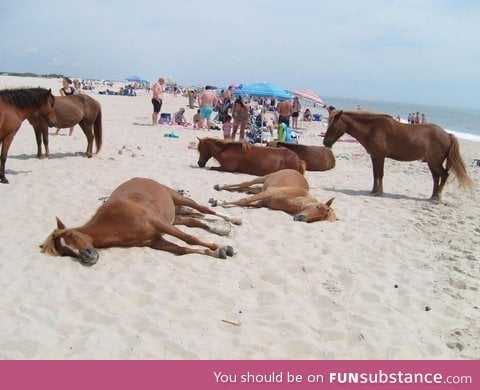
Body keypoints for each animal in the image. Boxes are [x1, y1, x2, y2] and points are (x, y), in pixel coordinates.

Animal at [40, 177, 244, 266]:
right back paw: (220, 230)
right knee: (194, 221)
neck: (115, 222)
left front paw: (221, 247)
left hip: (177, 198)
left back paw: (232, 220)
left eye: (72, 234)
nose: (87, 256)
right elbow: (182, 250)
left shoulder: (158, 224)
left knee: (203, 210)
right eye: (65, 253)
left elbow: (189, 239)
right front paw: (217, 252)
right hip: (173, 219)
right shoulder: (155, 241)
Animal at [210, 170, 338, 224]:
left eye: (319, 218)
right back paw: (219, 186)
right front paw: (217, 202)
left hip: (262, 187)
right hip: (263, 178)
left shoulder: (261, 202)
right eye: (318, 206)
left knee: (247, 188)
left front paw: (218, 200)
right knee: (245, 183)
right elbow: (244, 200)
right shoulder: (268, 193)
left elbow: (244, 202)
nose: (300, 218)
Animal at [322, 110, 472, 200]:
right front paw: (373, 190)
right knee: (436, 178)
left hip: (435, 162)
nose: (325, 142)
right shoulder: (374, 156)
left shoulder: (380, 156)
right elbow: (375, 174)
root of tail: (448, 134)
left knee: (444, 175)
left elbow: (380, 174)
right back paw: (433, 196)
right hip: (431, 162)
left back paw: (438, 196)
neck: (372, 128)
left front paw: (380, 192)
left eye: (333, 125)